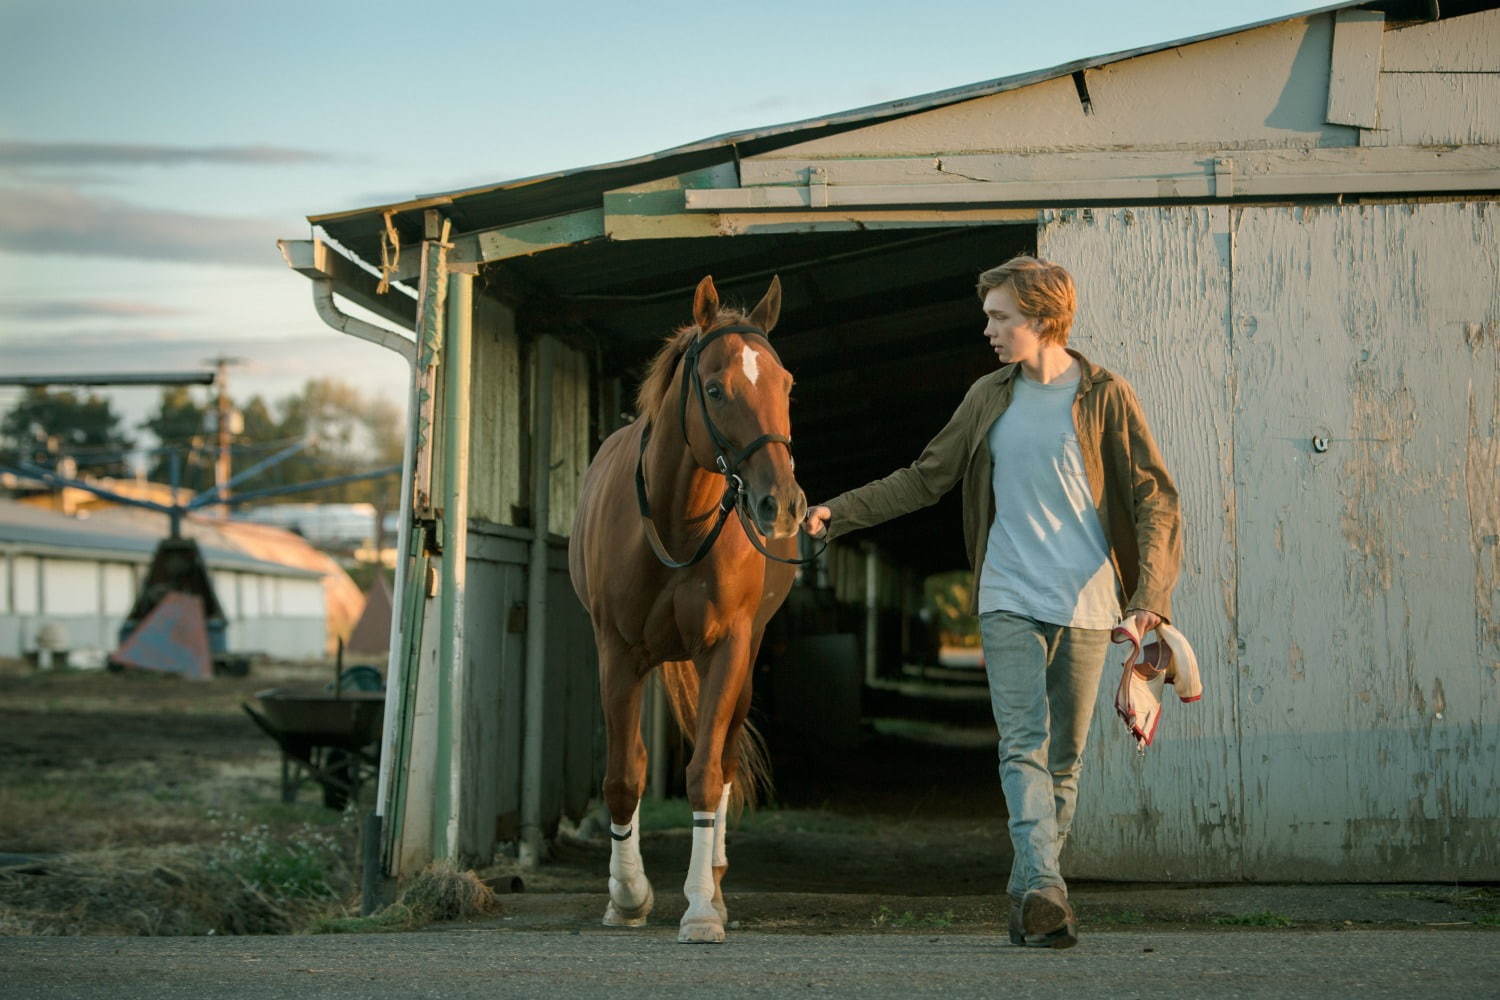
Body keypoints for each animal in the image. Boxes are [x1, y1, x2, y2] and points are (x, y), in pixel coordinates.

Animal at [567, 275, 810, 947]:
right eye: (716, 389)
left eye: (786, 385)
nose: (782, 505)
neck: (678, 522)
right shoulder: (617, 654)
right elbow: (624, 775)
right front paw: (627, 896)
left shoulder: (727, 648)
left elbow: (704, 772)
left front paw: (701, 906)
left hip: (744, 659)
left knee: (722, 760)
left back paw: (718, 883)